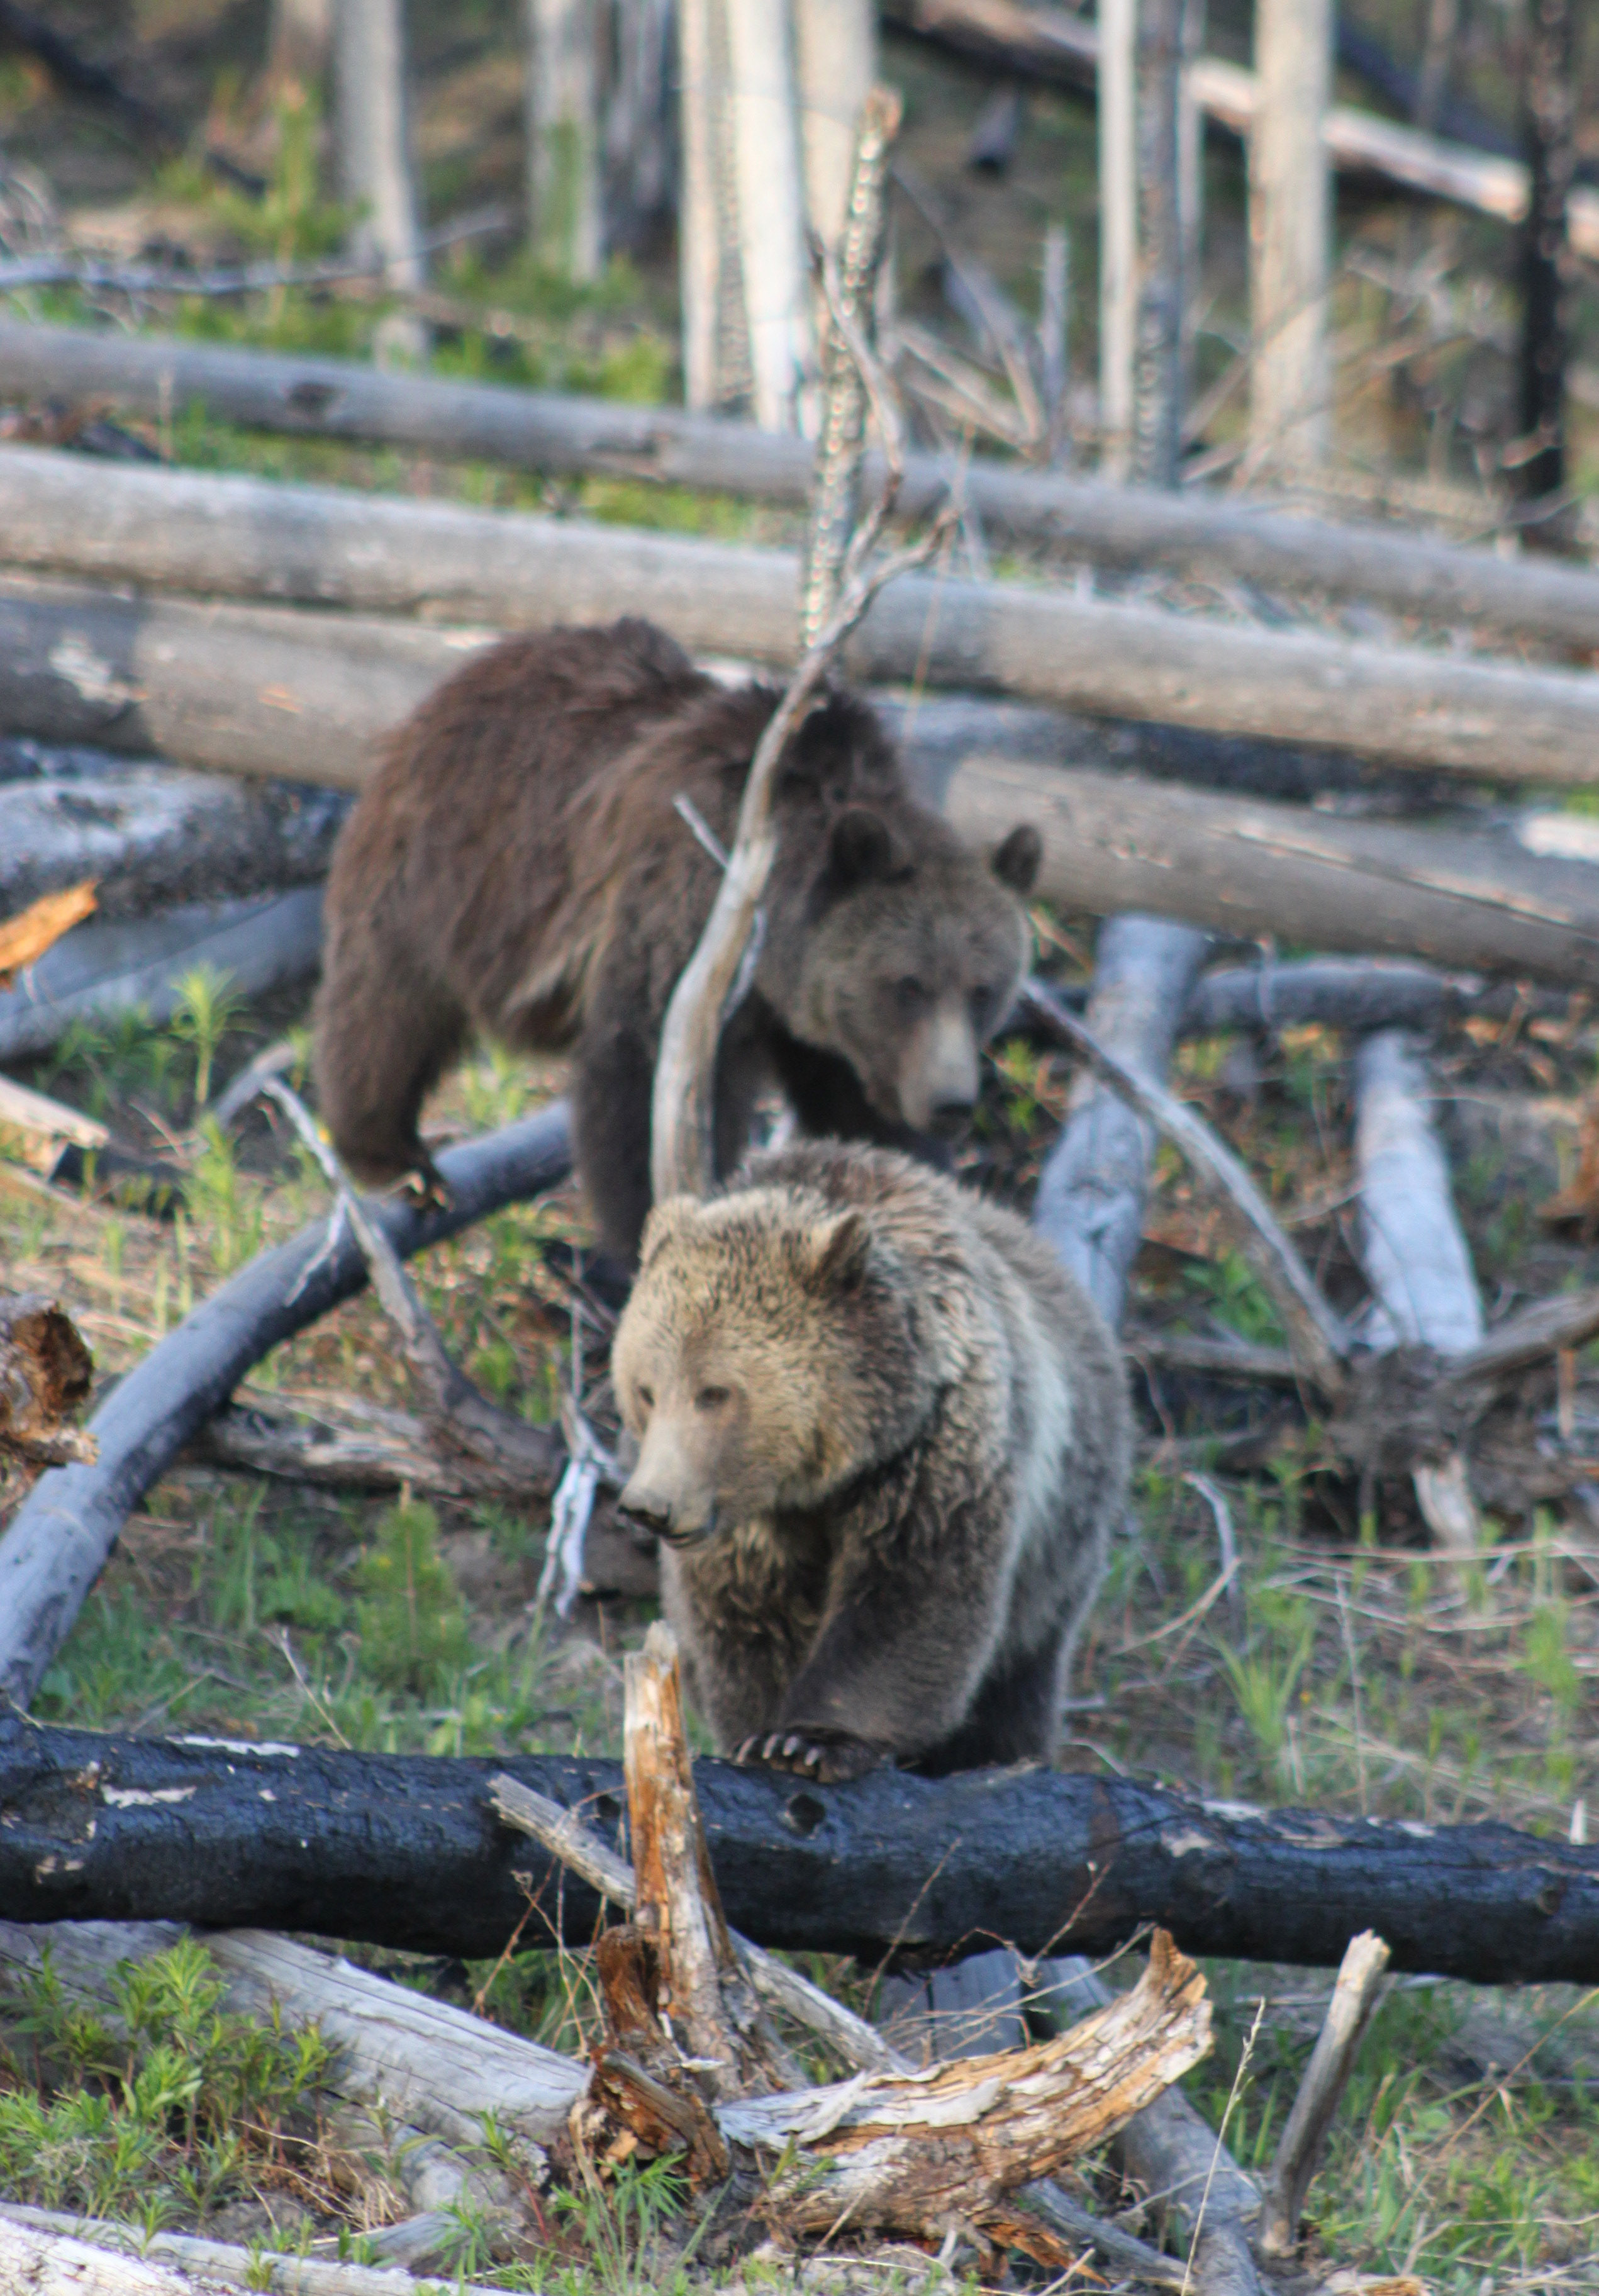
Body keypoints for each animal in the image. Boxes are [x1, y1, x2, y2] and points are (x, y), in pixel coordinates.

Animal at [314, 620, 1037, 1267]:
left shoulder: (825, 1028)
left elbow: (859, 1117)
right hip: (448, 860)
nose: (952, 1102)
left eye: (983, 988)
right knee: (388, 1005)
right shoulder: (682, 914)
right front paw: (654, 1234)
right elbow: (636, 1080)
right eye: (908, 985)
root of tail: (474, 662)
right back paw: (395, 1158)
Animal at [610, 1138, 1124, 1781]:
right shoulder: (747, 1523)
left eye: (715, 1392)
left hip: (1061, 1540)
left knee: (1017, 1682)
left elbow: (907, 1600)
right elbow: (748, 1623)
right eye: (646, 1389)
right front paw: (760, 1731)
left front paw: (810, 1740)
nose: (650, 1505)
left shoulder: (930, 1454)